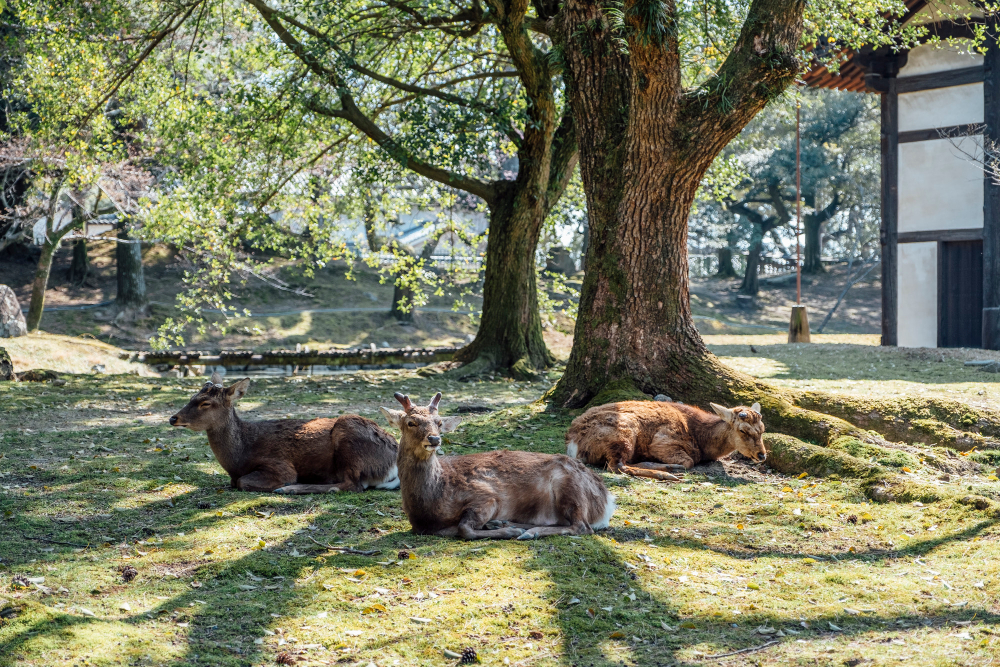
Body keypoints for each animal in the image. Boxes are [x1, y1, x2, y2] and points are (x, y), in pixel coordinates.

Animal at [168, 372, 400, 493]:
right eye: (192, 397)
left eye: (205, 403)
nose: (173, 418)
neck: (238, 459)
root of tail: (393, 464)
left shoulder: (279, 464)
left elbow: (243, 482)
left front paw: (283, 485)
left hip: (349, 433)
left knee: (351, 485)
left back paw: (289, 489)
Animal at [380, 392, 616, 540]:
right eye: (411, 422)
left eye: (439, 422)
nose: (434, 439)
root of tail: (606, 500)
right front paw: (503, 527)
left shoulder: (486, 496)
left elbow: (464, 529)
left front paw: (507, 532)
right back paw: (507, 524)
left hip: (569, 488)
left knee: (581, 526)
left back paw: (524, 532)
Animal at [565, 400, 766, 481]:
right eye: (743, 430)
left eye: (763, 429)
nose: (762, 455)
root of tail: (573, 443)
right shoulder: (663, 442)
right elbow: (689, 461)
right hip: (623, 434)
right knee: (617, 466)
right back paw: (667, 472)